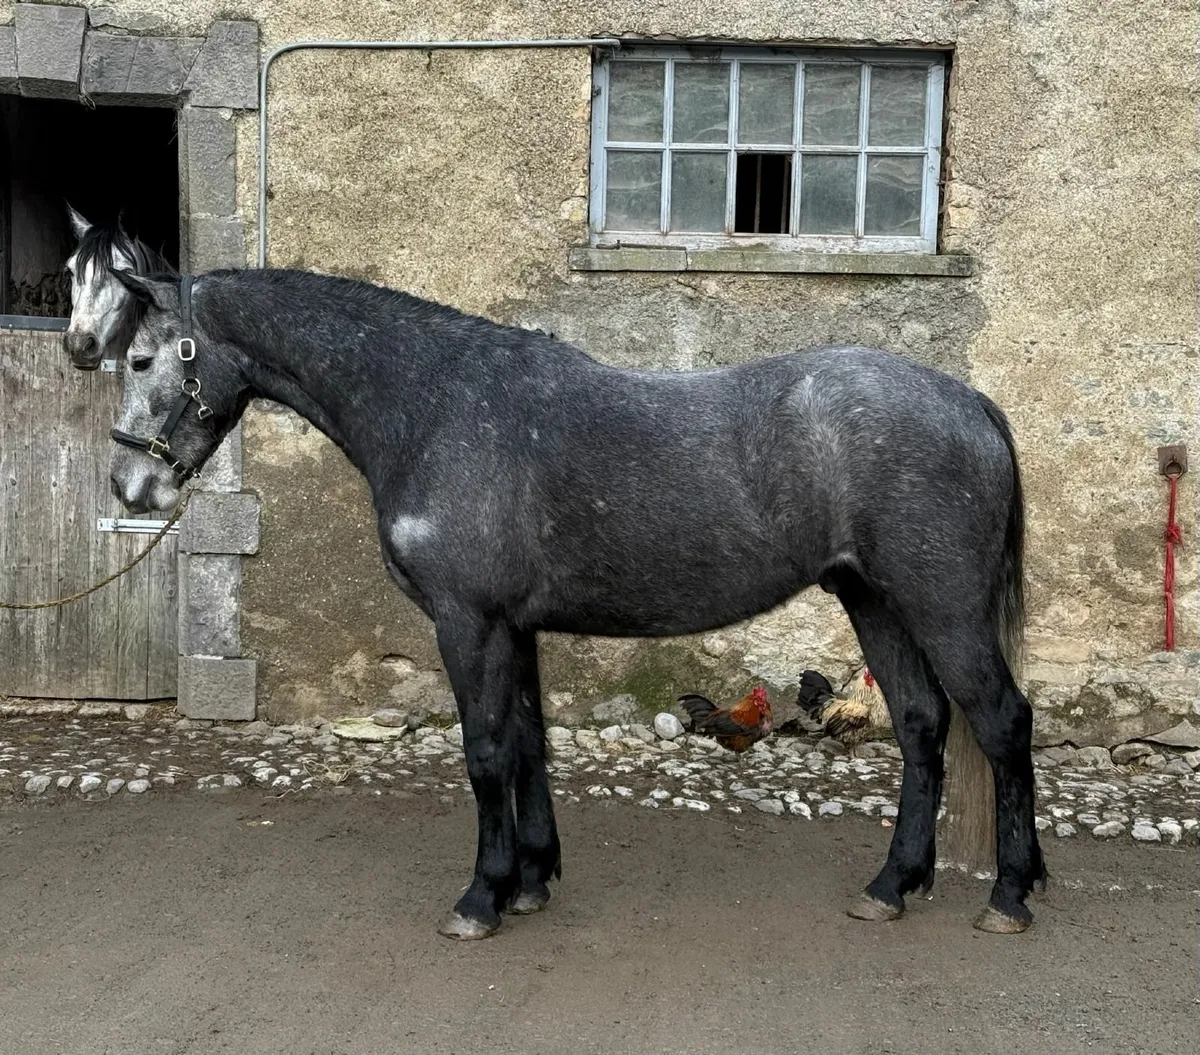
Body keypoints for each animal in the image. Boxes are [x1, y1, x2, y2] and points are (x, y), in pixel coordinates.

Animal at [99, 265, 1047, 940]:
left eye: (142, 359)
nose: (128, 485)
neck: (435, 404)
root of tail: (972, 402)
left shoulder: (467, 623)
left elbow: (485, 752)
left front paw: (480, 897)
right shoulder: (512, 627)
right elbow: (528, 744)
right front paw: (529, 879)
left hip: (943, 608)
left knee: (1001, 722)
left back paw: (1009, 892)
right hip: (875, 601)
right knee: (922, 724)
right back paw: (893, 884)